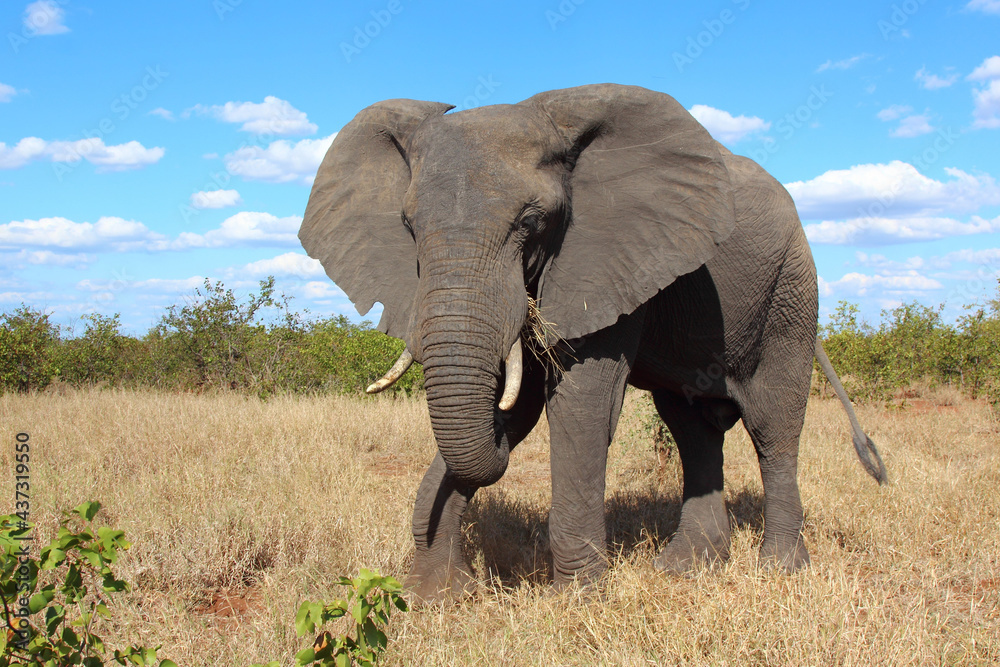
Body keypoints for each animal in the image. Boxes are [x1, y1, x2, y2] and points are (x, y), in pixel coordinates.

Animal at [299, 83, 887, 600]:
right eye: (407, 225)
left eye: (532, 221)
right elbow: (523, 402)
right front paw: (434, 598)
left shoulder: (606, 254)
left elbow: (580, 402)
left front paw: (575, 600)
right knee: (692, 427)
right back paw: (686, 568)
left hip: (791, 287)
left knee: (773, 423)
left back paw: (779, 570)